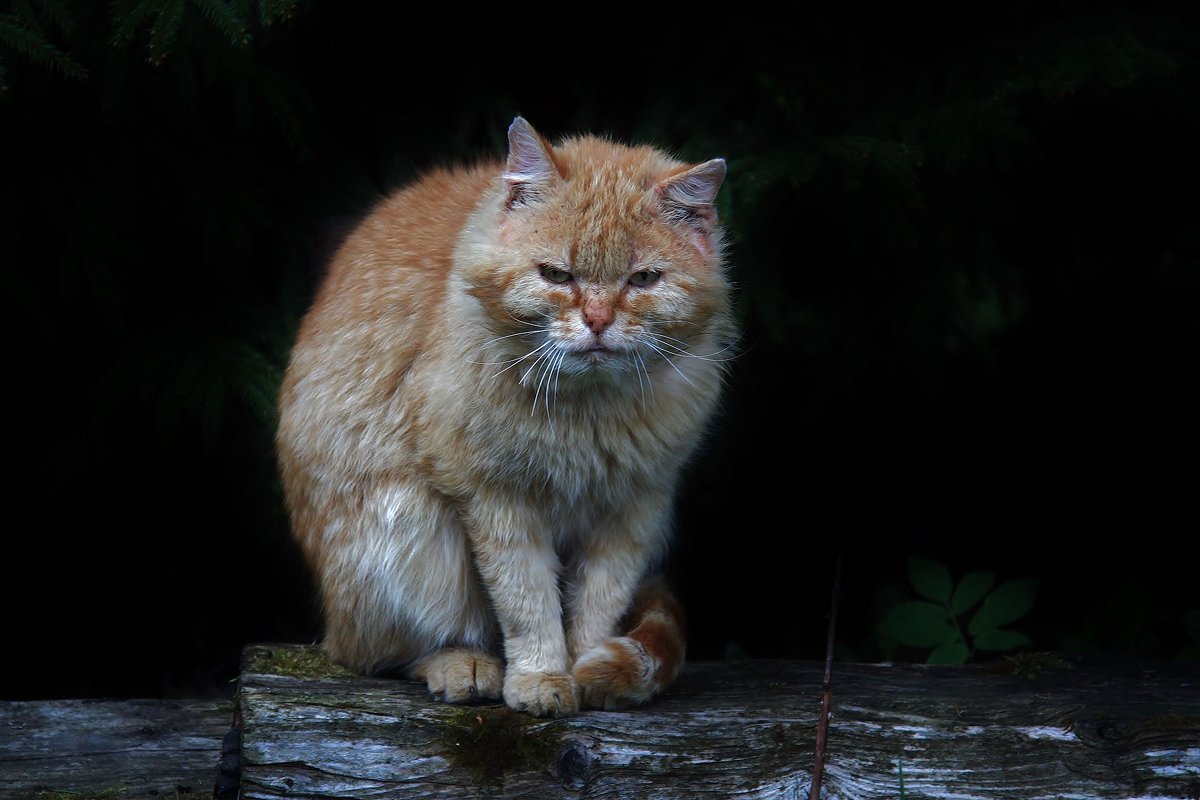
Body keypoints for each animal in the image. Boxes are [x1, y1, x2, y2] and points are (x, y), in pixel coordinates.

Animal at [276, 115, 734, 714]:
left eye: (643, 280)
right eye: (556, 275)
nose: (598, 321)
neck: (588, 410)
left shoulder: (632, 510)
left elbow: (598, 604)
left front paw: (586, 673)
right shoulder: (497, 502)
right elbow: (527, 602)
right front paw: (541, 680)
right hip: (404, 531)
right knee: (384, 653)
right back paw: (463, 665)